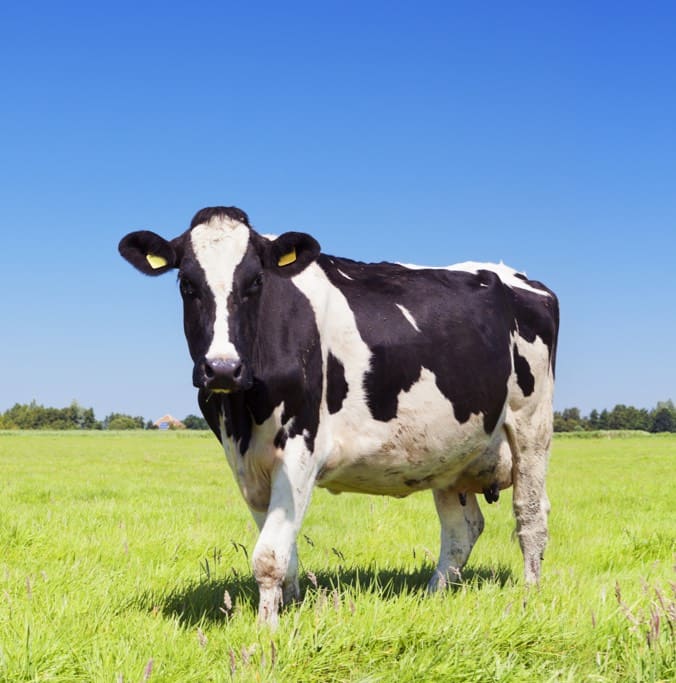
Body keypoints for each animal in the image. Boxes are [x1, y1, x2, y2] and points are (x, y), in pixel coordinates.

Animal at [117, 206, 560, 628]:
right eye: (186, 283)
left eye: (256, 282)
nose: (222, 369)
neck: (242, 412)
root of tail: (518, 276)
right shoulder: (244, 463)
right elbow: (284, 549)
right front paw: (288, 608)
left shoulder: (301, 446)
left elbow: (269, 555)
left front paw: (266, 630)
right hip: (452, 452)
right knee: (461, 529)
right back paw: (432, 596)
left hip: (531, 424)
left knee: (530, 515)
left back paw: (530, 597)